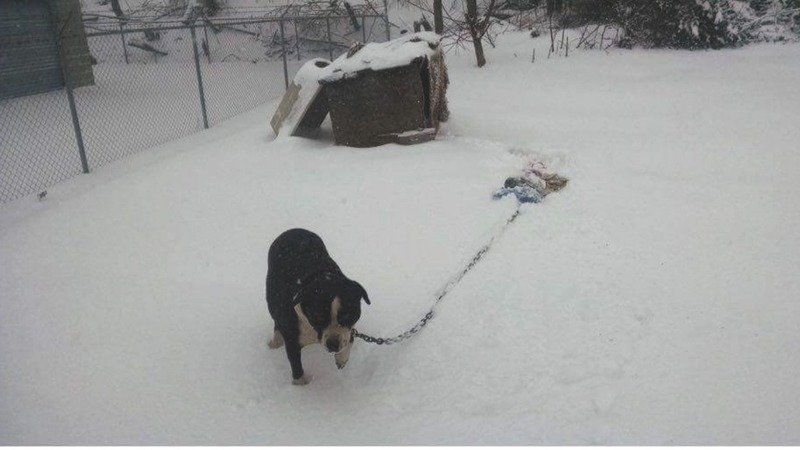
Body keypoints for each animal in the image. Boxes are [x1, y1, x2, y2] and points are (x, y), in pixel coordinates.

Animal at [266, 228, 370, 385]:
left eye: (347, 315)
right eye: (318, 316)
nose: (333, 344)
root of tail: (293, 230)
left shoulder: (348, 330)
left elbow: (348, 339)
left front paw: (341, 360)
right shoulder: (291, 336)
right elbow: (295, 362)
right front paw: (302, 383)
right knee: (276, 321)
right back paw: (275, 343)